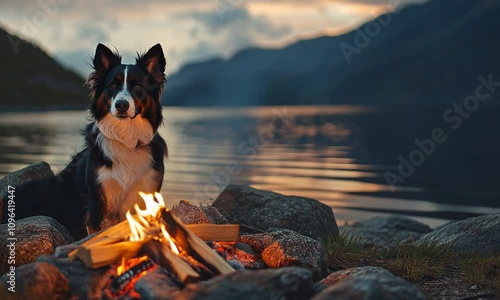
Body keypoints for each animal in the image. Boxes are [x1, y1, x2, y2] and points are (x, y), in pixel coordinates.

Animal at [0, 43, 168, 239]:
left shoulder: (145, 193)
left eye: (137, 86)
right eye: (113, 84)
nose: (121, 105)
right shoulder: (98, 200)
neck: (126, 137)